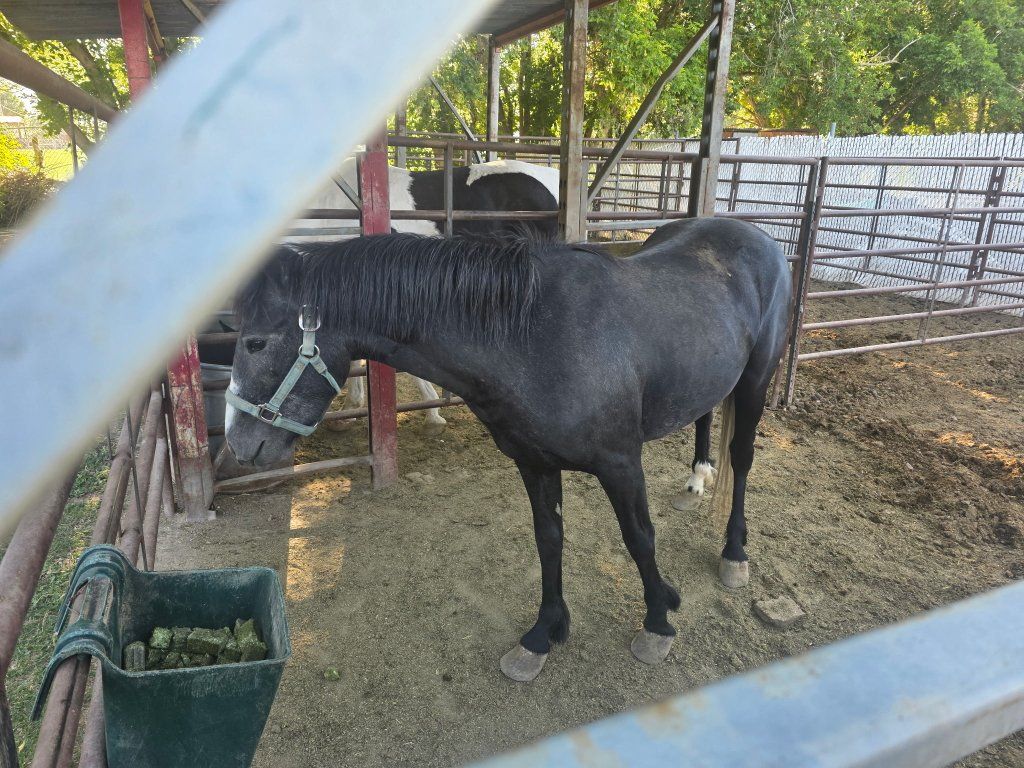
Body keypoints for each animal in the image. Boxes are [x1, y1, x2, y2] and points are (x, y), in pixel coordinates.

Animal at [225, 217, 791, 681]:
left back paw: (734, 553)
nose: (237, 443)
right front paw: (544, 634)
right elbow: (549, 542)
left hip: (756, 380)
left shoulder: (621, 462)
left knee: (742, 460)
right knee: (704, 416)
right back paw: (696, 481)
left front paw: (657, 622)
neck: (535, 339)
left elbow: (640, 538)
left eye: (255, 343)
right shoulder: (533, 463)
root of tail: (760, 238)